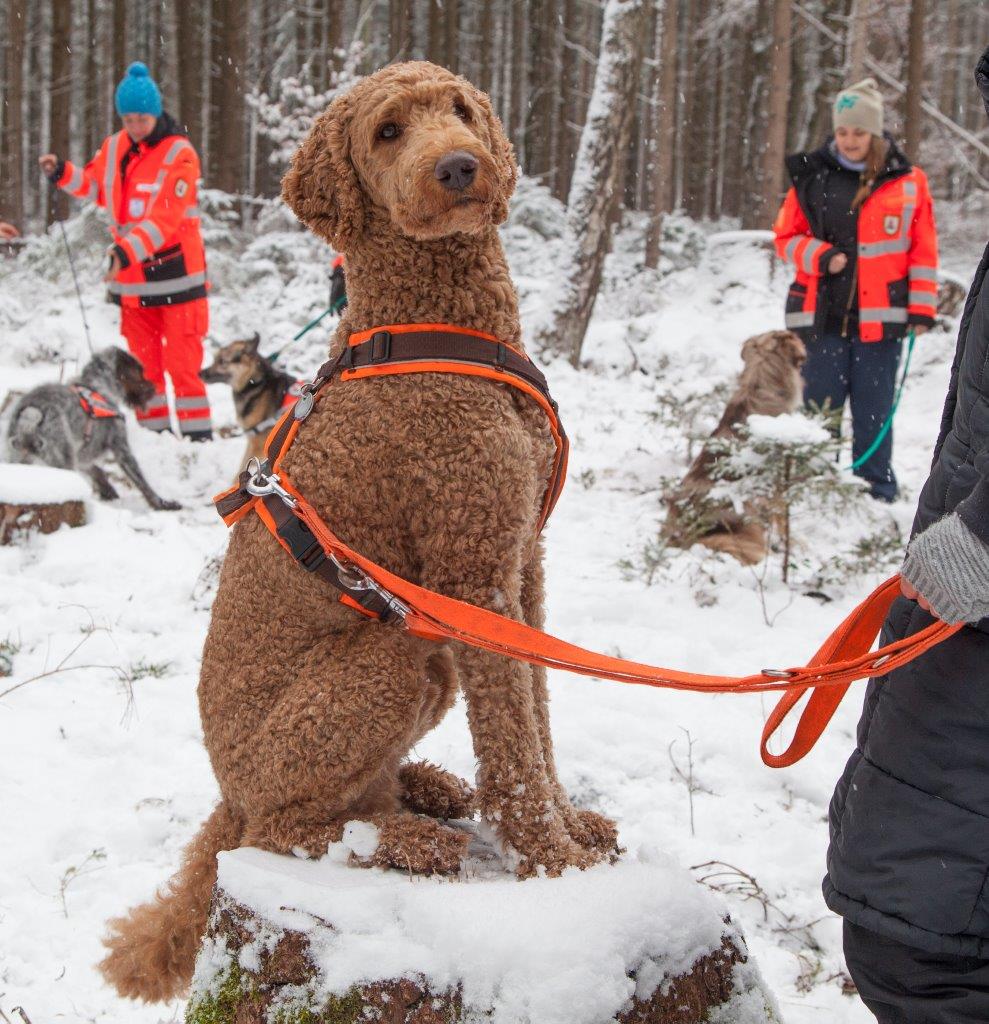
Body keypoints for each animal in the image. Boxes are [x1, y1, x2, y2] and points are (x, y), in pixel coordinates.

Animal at [5, 348, 181, 512]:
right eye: (138, 372)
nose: (153, 388)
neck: (97, 386)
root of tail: (30, 414)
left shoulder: (83, 453)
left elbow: (96, 470)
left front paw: (107, 491)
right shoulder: (120, 447)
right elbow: (142, 482)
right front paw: (163, 504)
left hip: (19, 458)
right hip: (62, 459)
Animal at [96, 59, 614, 1003]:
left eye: (460, 109)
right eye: (387, 131)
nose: (460, 166)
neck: (436, 323)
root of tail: (227, 792)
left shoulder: (522, 561)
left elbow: (539, 711)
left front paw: (571, 828)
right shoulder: (472, 568)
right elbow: (513, 742)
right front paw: (553, 864)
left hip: (423, 657)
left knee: (346, 801)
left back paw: (427, 791)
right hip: (386, 659)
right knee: (284, 828)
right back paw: (409, 838)